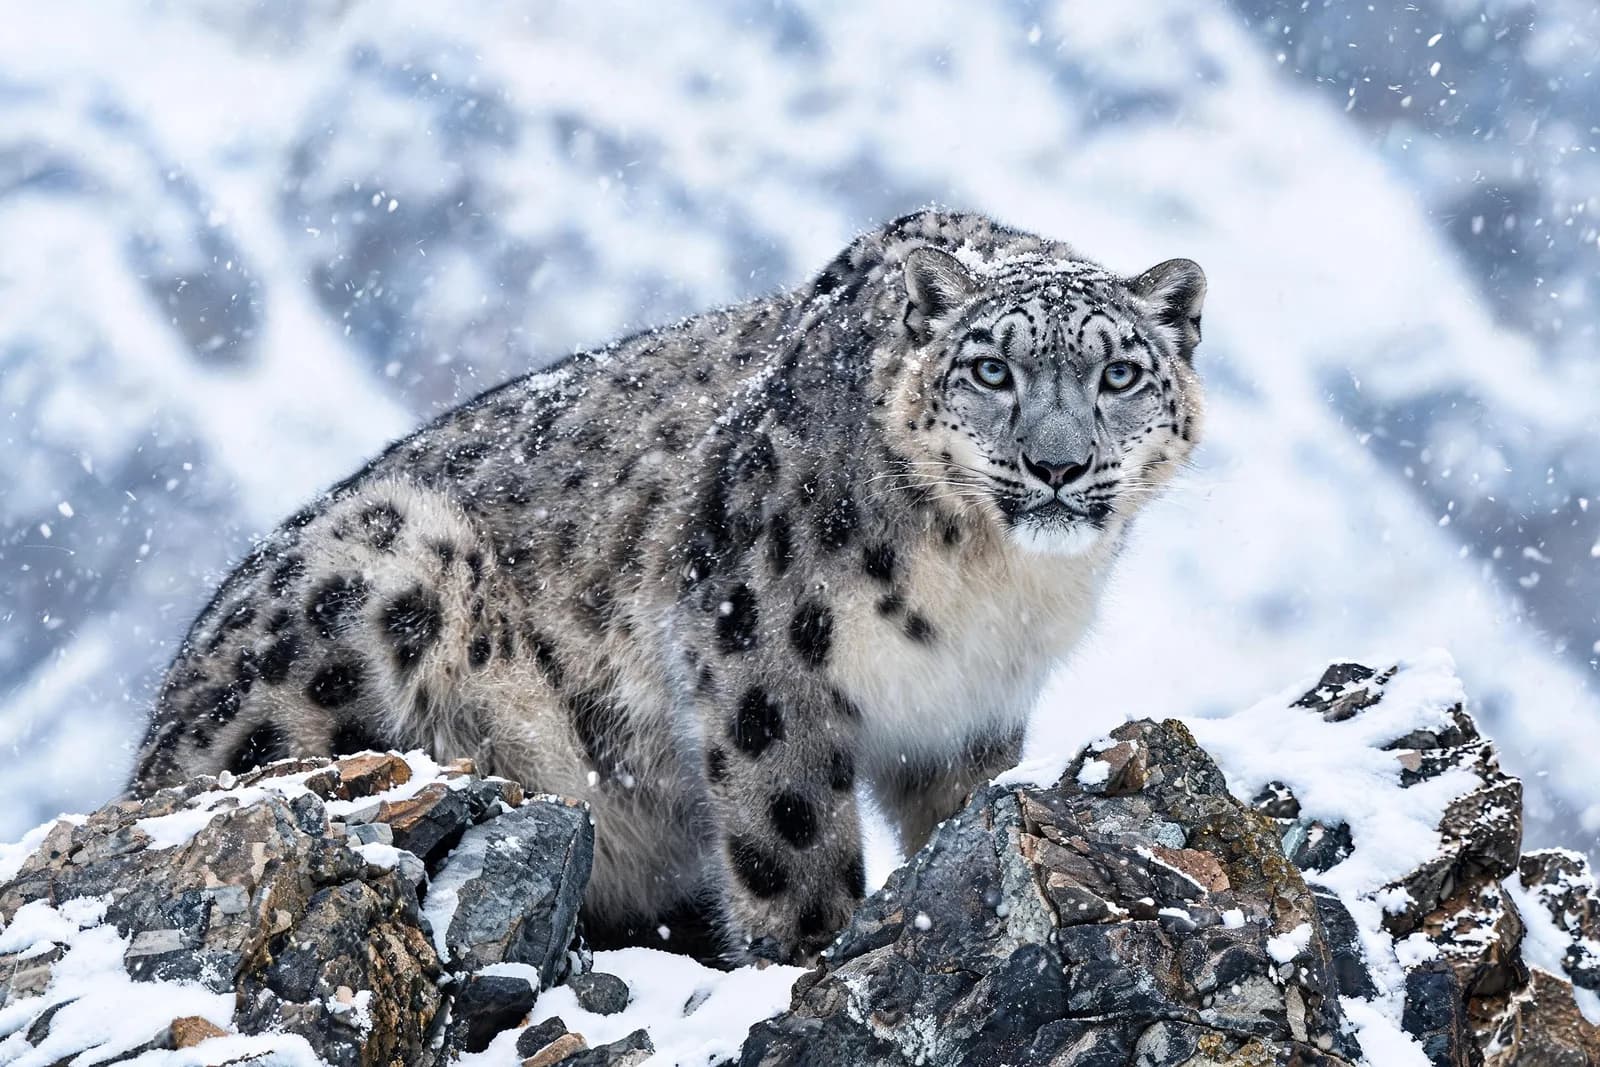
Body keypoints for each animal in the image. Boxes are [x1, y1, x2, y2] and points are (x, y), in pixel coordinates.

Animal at [131, 209, 1206, 964]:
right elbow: (790, 827)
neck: (993, 593)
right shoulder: (759, 639)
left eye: (1118, 373)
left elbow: (959, 812)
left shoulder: (970, 716)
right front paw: (811, 950)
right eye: (990, 368)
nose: (1057, 464)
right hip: (386, 566)